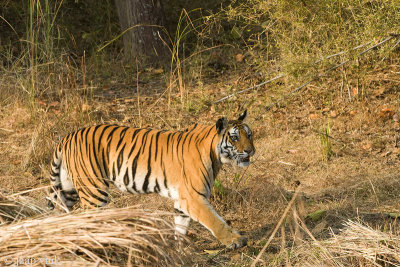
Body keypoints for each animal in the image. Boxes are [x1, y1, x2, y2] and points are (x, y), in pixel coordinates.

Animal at [47, 110, 253, 249]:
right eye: (234, 138)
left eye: (249, 135)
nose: (251, 150)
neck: (215, 155)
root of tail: (67, 137)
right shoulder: (193, 198)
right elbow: (215, 221)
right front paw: (236, 240)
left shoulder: (182, 200)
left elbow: (180, 227)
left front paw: (180, 250)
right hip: (93, 190)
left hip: (69, 189)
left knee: (60, 215)